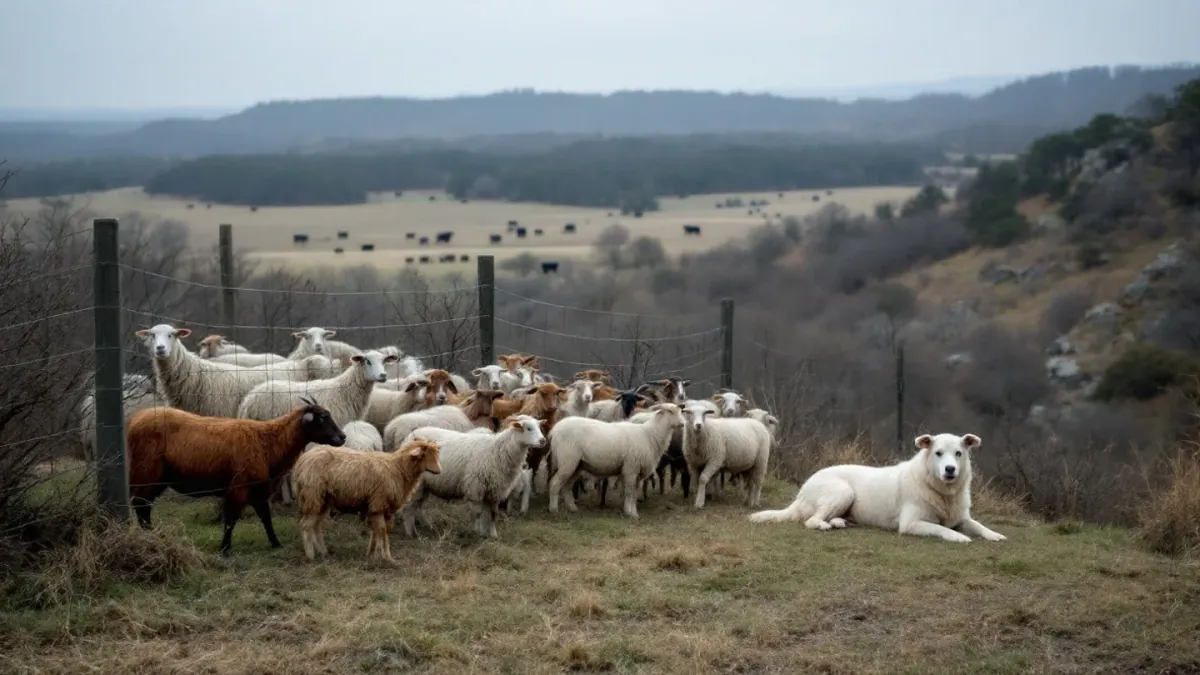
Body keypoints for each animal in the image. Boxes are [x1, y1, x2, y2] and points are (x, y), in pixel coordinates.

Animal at [126, 398, 346, 555]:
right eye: (322, 418)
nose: (342, 437)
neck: (268, 442)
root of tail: (134, 421)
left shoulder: (259, 489)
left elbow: (266, 518)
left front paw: (275, 543)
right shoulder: (238, 487)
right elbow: (230, 520)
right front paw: (224, 549)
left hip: (156, 478)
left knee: (143, 506)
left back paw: (153, 536)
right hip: (147, 472)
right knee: (141, 504)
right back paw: (151, 538)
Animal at [293, 438, 441, 561]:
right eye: (425, 455)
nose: (439, 471)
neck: (397, 469)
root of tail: (302, 461)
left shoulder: (383, 508)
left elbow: (379, 531)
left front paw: (371, 554)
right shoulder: (378, 504)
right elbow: (382, 531)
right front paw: (387, 557)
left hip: (322, 501)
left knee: (315, 525)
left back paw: (323, 552)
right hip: (313, 495)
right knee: (305, 525)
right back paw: (310, 556)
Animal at [401, 415, 546, 538]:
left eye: (539, 427)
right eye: (528, 428)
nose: (543, 441)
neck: (496, 451)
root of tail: (410, 436)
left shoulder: (495, 491)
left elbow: (492, 514)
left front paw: (492, 534)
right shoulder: (476, 487)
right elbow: (478, 513)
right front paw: (478, 532)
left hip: (425, 485)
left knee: (417, 506)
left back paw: (423, 527)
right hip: (417, 483)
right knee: (409, 508)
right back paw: (410, 533)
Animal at [547, 403, 685, 517]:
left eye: (679, 411)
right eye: (670, 411)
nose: (682, 424)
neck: (650, 434)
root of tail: (555, 429)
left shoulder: (636, 472)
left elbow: (633, 493)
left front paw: (631, 511)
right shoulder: (631, 468)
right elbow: (629, 492)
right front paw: (631, 514)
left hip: (577, 464)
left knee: (566, 487)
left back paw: (572, 509)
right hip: (567, 460)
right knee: (554, 484)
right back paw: (554, 510)